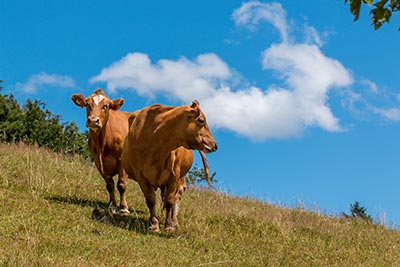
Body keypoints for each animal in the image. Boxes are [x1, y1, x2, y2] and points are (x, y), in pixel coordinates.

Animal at [122, 100, 217, 232]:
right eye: (201, 120)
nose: (215, 145)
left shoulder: (174, 175)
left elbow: (170, 201)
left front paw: (169, 225)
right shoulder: (140, 176)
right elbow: (151, 200)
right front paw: (154, 224)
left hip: (180, 177)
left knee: (177, 195)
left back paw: (174, 221)